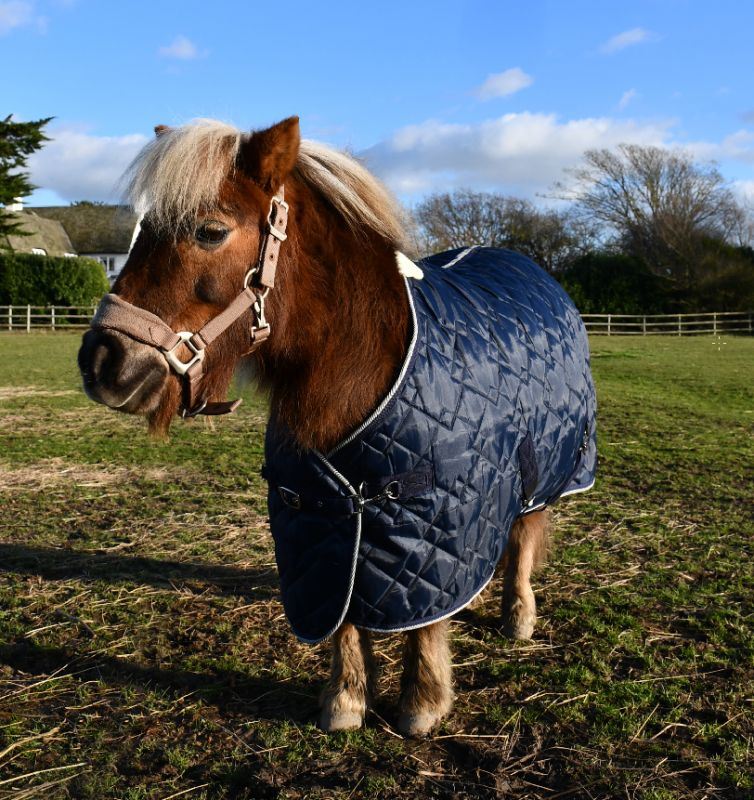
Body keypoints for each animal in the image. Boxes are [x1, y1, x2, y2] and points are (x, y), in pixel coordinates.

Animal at [78, 115, 592, 736]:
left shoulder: (436, 512)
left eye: (210, 231)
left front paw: (422, 702)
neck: (358, 367)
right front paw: (345, 700)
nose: (101, 363)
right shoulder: (320, 516)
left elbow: (424, 618)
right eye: (141, 232)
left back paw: (518, 615)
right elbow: (343, 614)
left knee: (523, 537)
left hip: (543, 467)